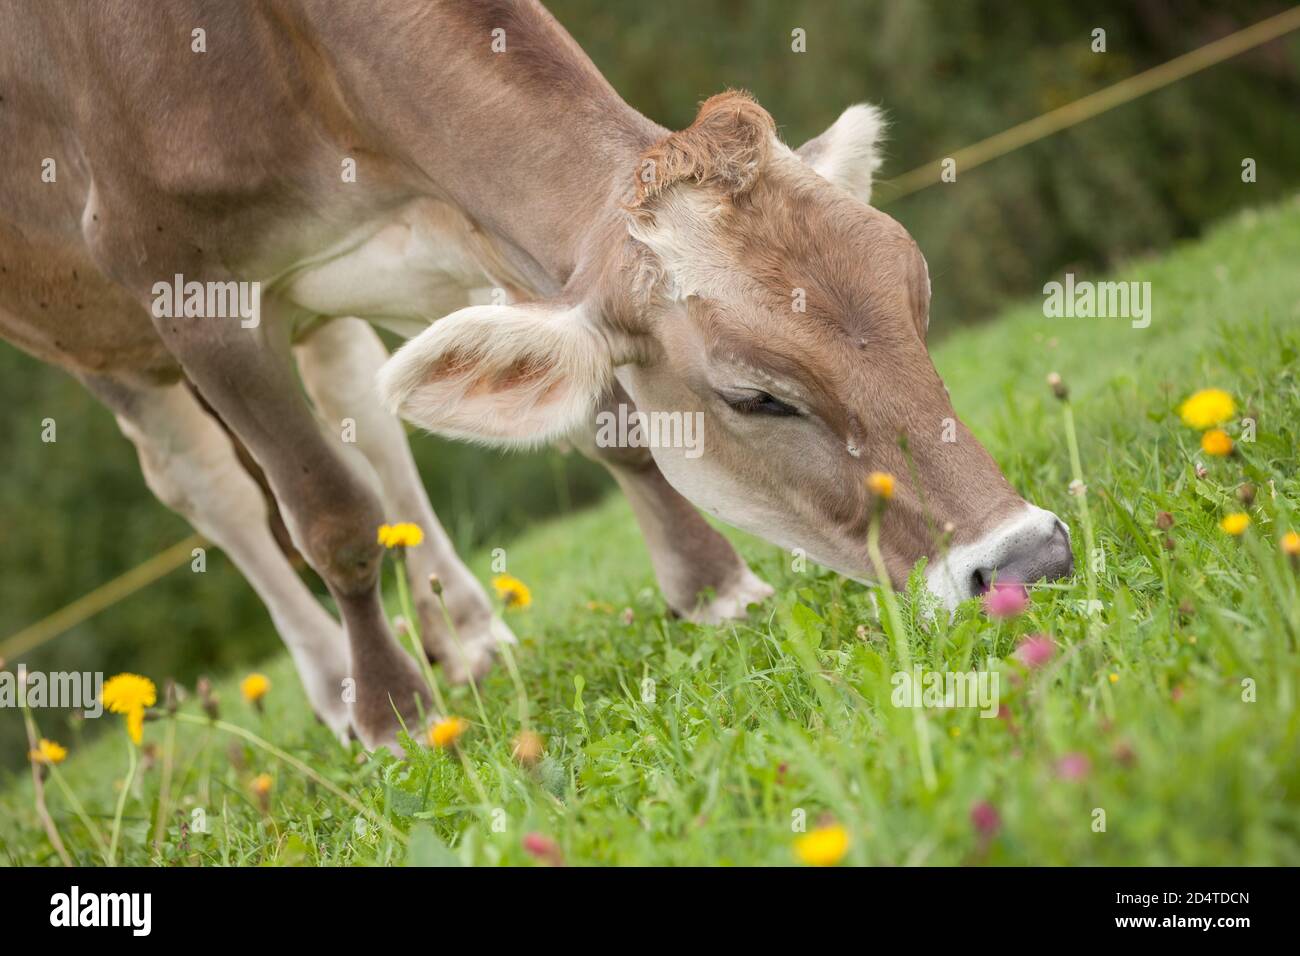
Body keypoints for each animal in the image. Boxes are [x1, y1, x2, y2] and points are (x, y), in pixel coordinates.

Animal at [0, 0, 1073, 751]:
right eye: (755, 396)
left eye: (916, 301)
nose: (1028, 562)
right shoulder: (182, 289)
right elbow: (328, 514)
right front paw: (391, 714)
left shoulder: (480, 231)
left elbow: (612, 427)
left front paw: (713, 587)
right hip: (88, 325)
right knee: (212, 489)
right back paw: (339, 685)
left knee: (363, 405)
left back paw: (469, 633)